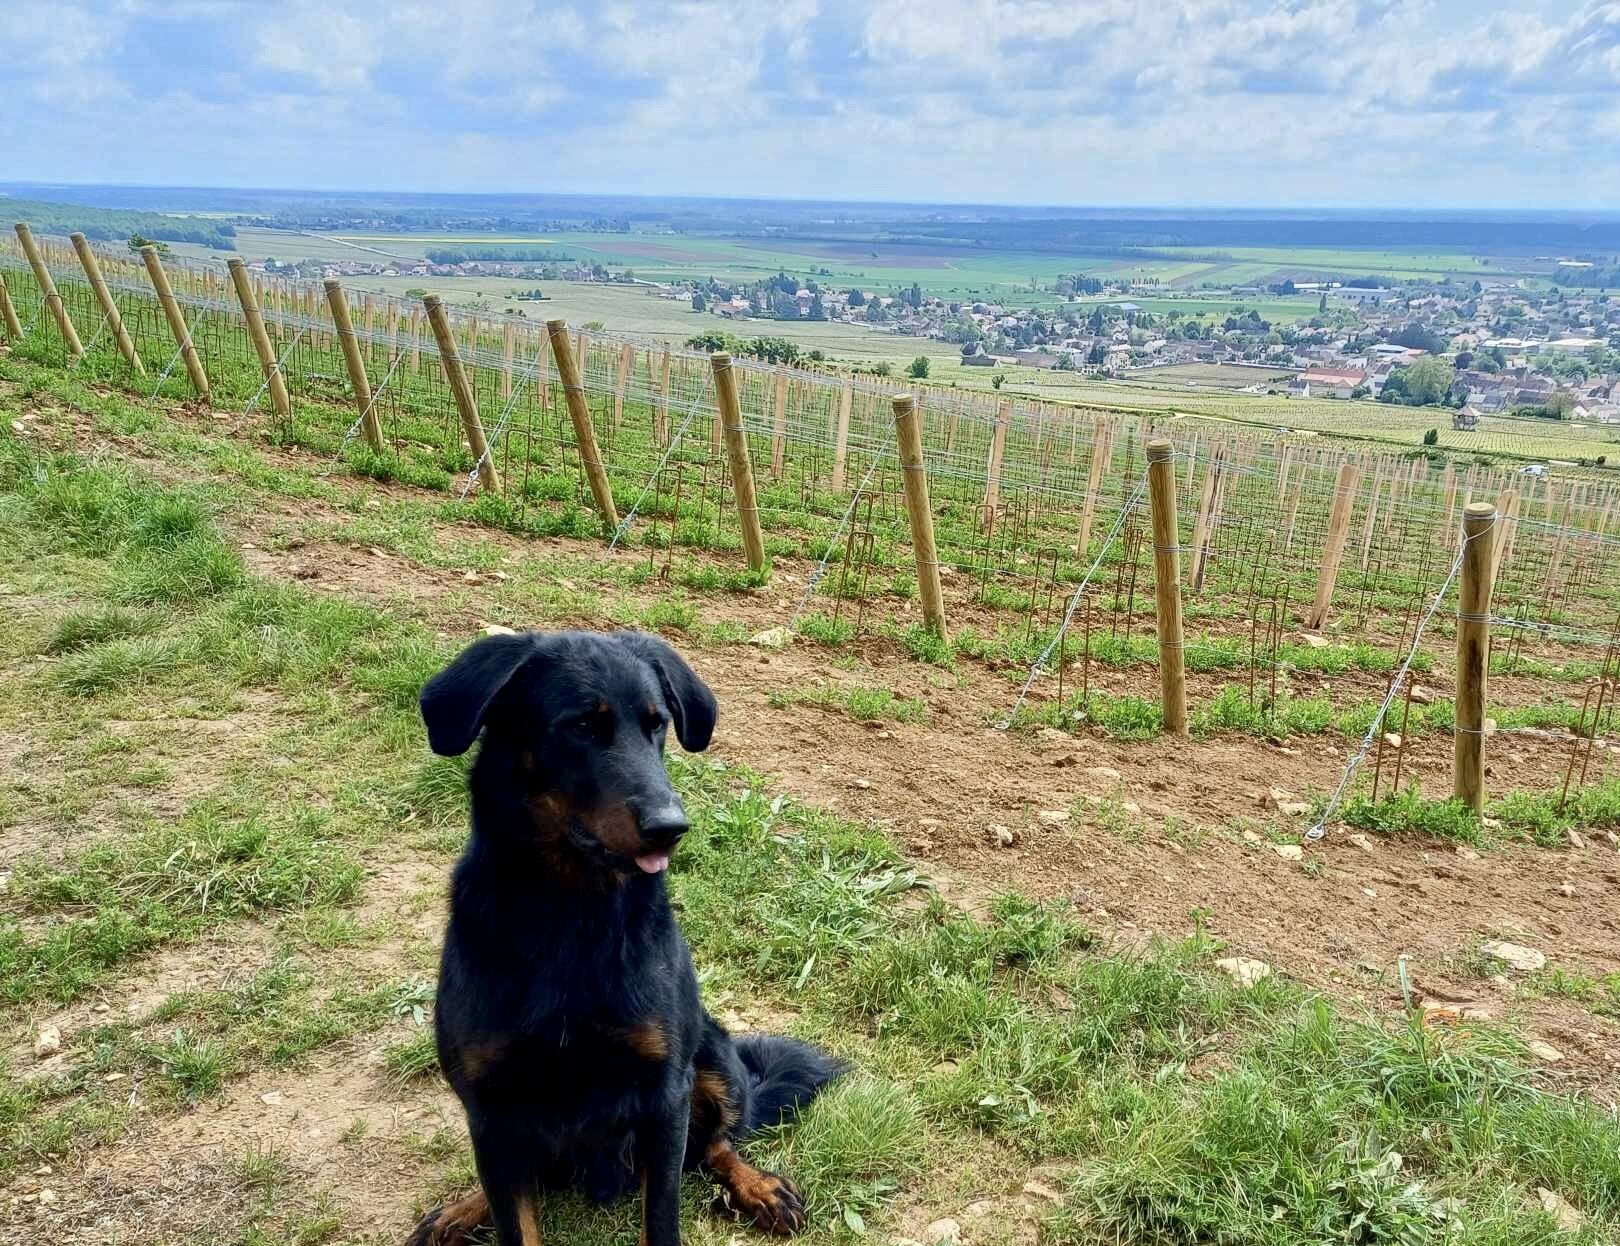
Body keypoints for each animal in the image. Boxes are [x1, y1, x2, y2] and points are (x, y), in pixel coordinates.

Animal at [408, 631, 848, 1244]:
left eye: (657, 724)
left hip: (713, 1056)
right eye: (581, 726)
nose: (672, 827)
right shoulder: (489, 1108)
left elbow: (662, 1215)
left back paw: (759, 1186)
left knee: (716, 1145)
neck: (571, 913)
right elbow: (515, 1220)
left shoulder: (664, 1094)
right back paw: (461, 1210)